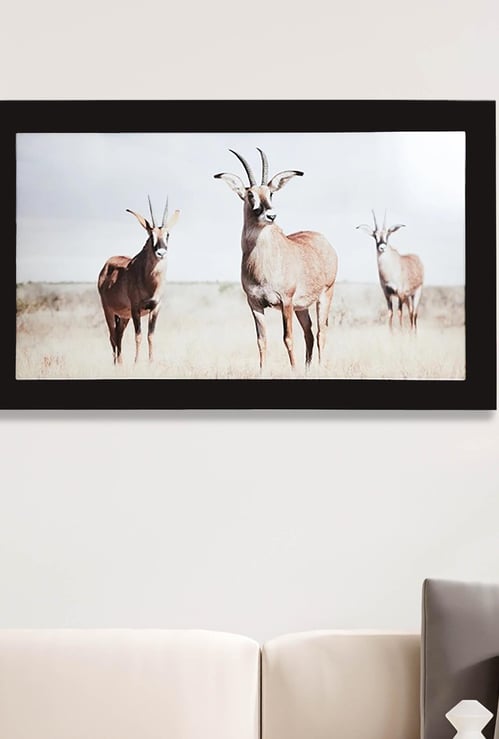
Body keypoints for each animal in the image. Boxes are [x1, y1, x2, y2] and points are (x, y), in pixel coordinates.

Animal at [97, 196, 180, 364]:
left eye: (168, 234)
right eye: (150, 235)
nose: (161, 253)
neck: (150, 281)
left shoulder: (155, 308)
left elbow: (150, 336)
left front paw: (150, 362)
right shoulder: (136, 309)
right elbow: (139, 336)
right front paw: (136, 363)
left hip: (123, 316)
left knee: (119, 335)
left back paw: (120, 363)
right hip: (109, 311)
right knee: (112, 336)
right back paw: (117, 365)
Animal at [214, 148, 338, 371]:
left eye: (270, 193)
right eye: (250, 194)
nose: (271, 215)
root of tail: (324, 241)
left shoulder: (285, 301)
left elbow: (288, 338)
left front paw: (294, 371)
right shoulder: (254, 303)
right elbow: (261, 340)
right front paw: (263, 371)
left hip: (324, 296)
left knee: (320, 332)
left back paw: (319, 367)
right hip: (301, 307)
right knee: (309, 333)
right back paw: (308, 369)